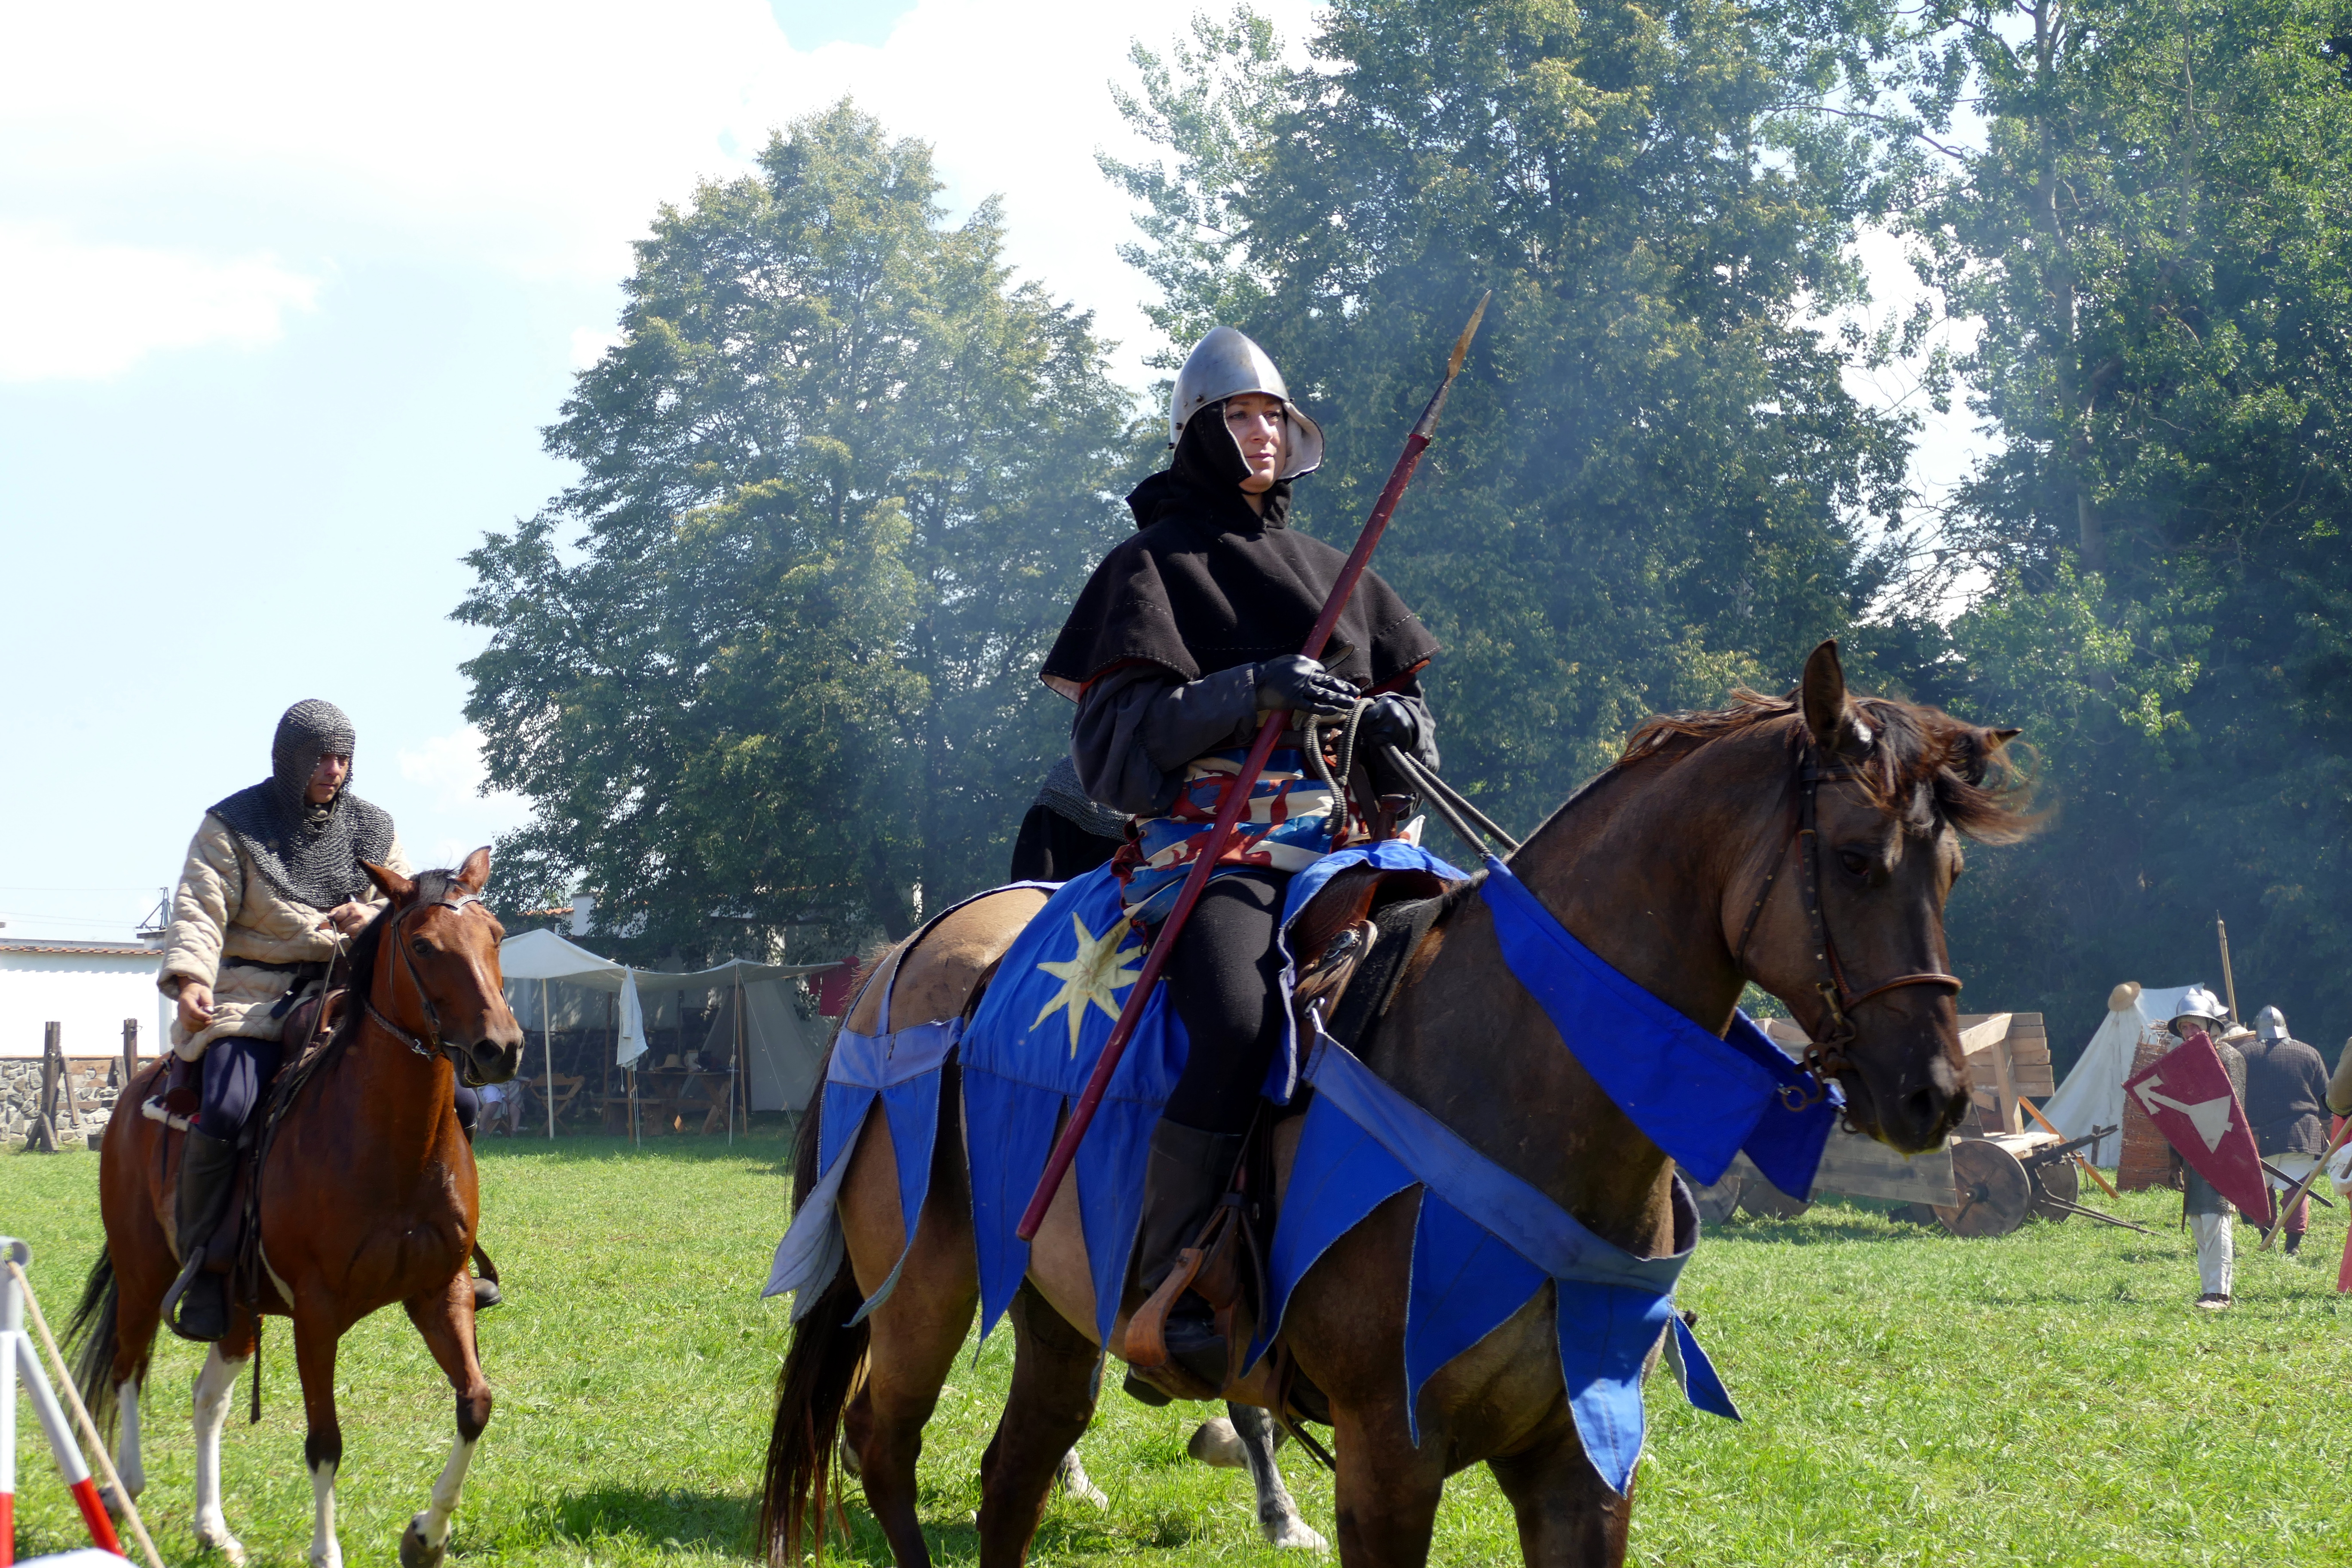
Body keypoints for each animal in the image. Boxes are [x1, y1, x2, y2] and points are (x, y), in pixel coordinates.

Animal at [67, 851, 522, 1568]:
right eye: (424, 945)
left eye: (496, 935)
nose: (499, 1048)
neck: (392, 1144)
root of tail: (137, 1089)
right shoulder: (317, 1310)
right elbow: (325, 1441)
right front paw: (327, 1551)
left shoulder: (440, 1291)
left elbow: (475, 1403)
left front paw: (427, 1533)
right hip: (144, 1274)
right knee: (127, 1369)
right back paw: (126, 1489)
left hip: (233, 1303)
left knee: (208, 1397)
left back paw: (213, 1529)